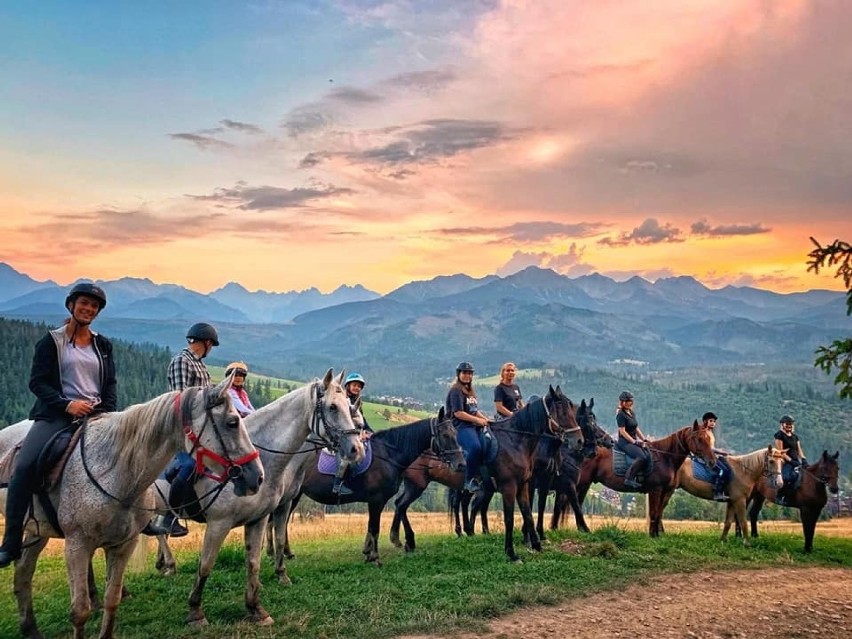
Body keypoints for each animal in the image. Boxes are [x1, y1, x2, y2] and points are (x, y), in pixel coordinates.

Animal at [0, 378, 262, 639]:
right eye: (232, 422)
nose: (257, 477)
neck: (116, 474)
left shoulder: (125, 543)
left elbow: (112, 599)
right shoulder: (76, 545)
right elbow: (80, 611)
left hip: (37, 530)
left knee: (23, 571)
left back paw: (31, 629)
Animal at [150, 370, 362, 624]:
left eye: (349, 408)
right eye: (332, 407)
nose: (356, 449)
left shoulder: (263, 516)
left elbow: (255, 561)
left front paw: (257, 607)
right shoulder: (219, 522)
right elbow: (206, 564)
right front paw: (195, 612)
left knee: (160, 531)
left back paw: (163, 565)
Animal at [272, 408, 462, 572]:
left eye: (455, 434)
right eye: (445, 435)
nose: (461, 463)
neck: (388, 455)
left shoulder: (377, 501)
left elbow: (371, 528)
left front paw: (368, 555)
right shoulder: (377, 500)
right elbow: (375, 528)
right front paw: (375, 558)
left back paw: (282, 552)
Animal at [576, 422, 716, 536]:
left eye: (709, 439)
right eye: (699, 439)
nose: (712, 462)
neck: (665, 458)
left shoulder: (664, 491)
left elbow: (658, 512)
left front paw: (657, 535)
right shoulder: (656, 490)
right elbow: (654, 512)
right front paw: (653, 535)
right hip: (583, 483)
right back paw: (584, 529)